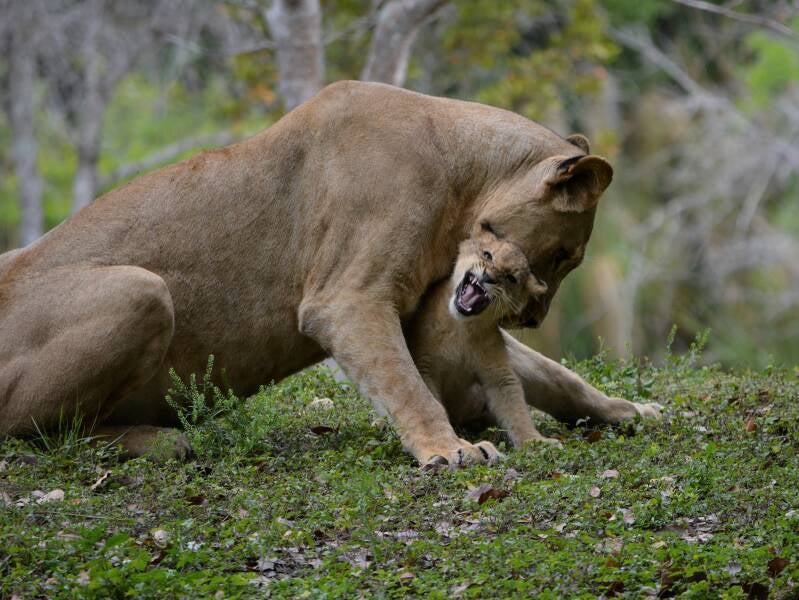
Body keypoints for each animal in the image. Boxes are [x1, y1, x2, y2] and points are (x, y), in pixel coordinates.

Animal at [407, 225, 562, 460]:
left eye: (510, 278)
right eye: (487, 255)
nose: (488, 277)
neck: (461, 327)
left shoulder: (497, 373)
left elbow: (516, 410)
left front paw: (534, 441)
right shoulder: (425, 367)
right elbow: (432, 402)